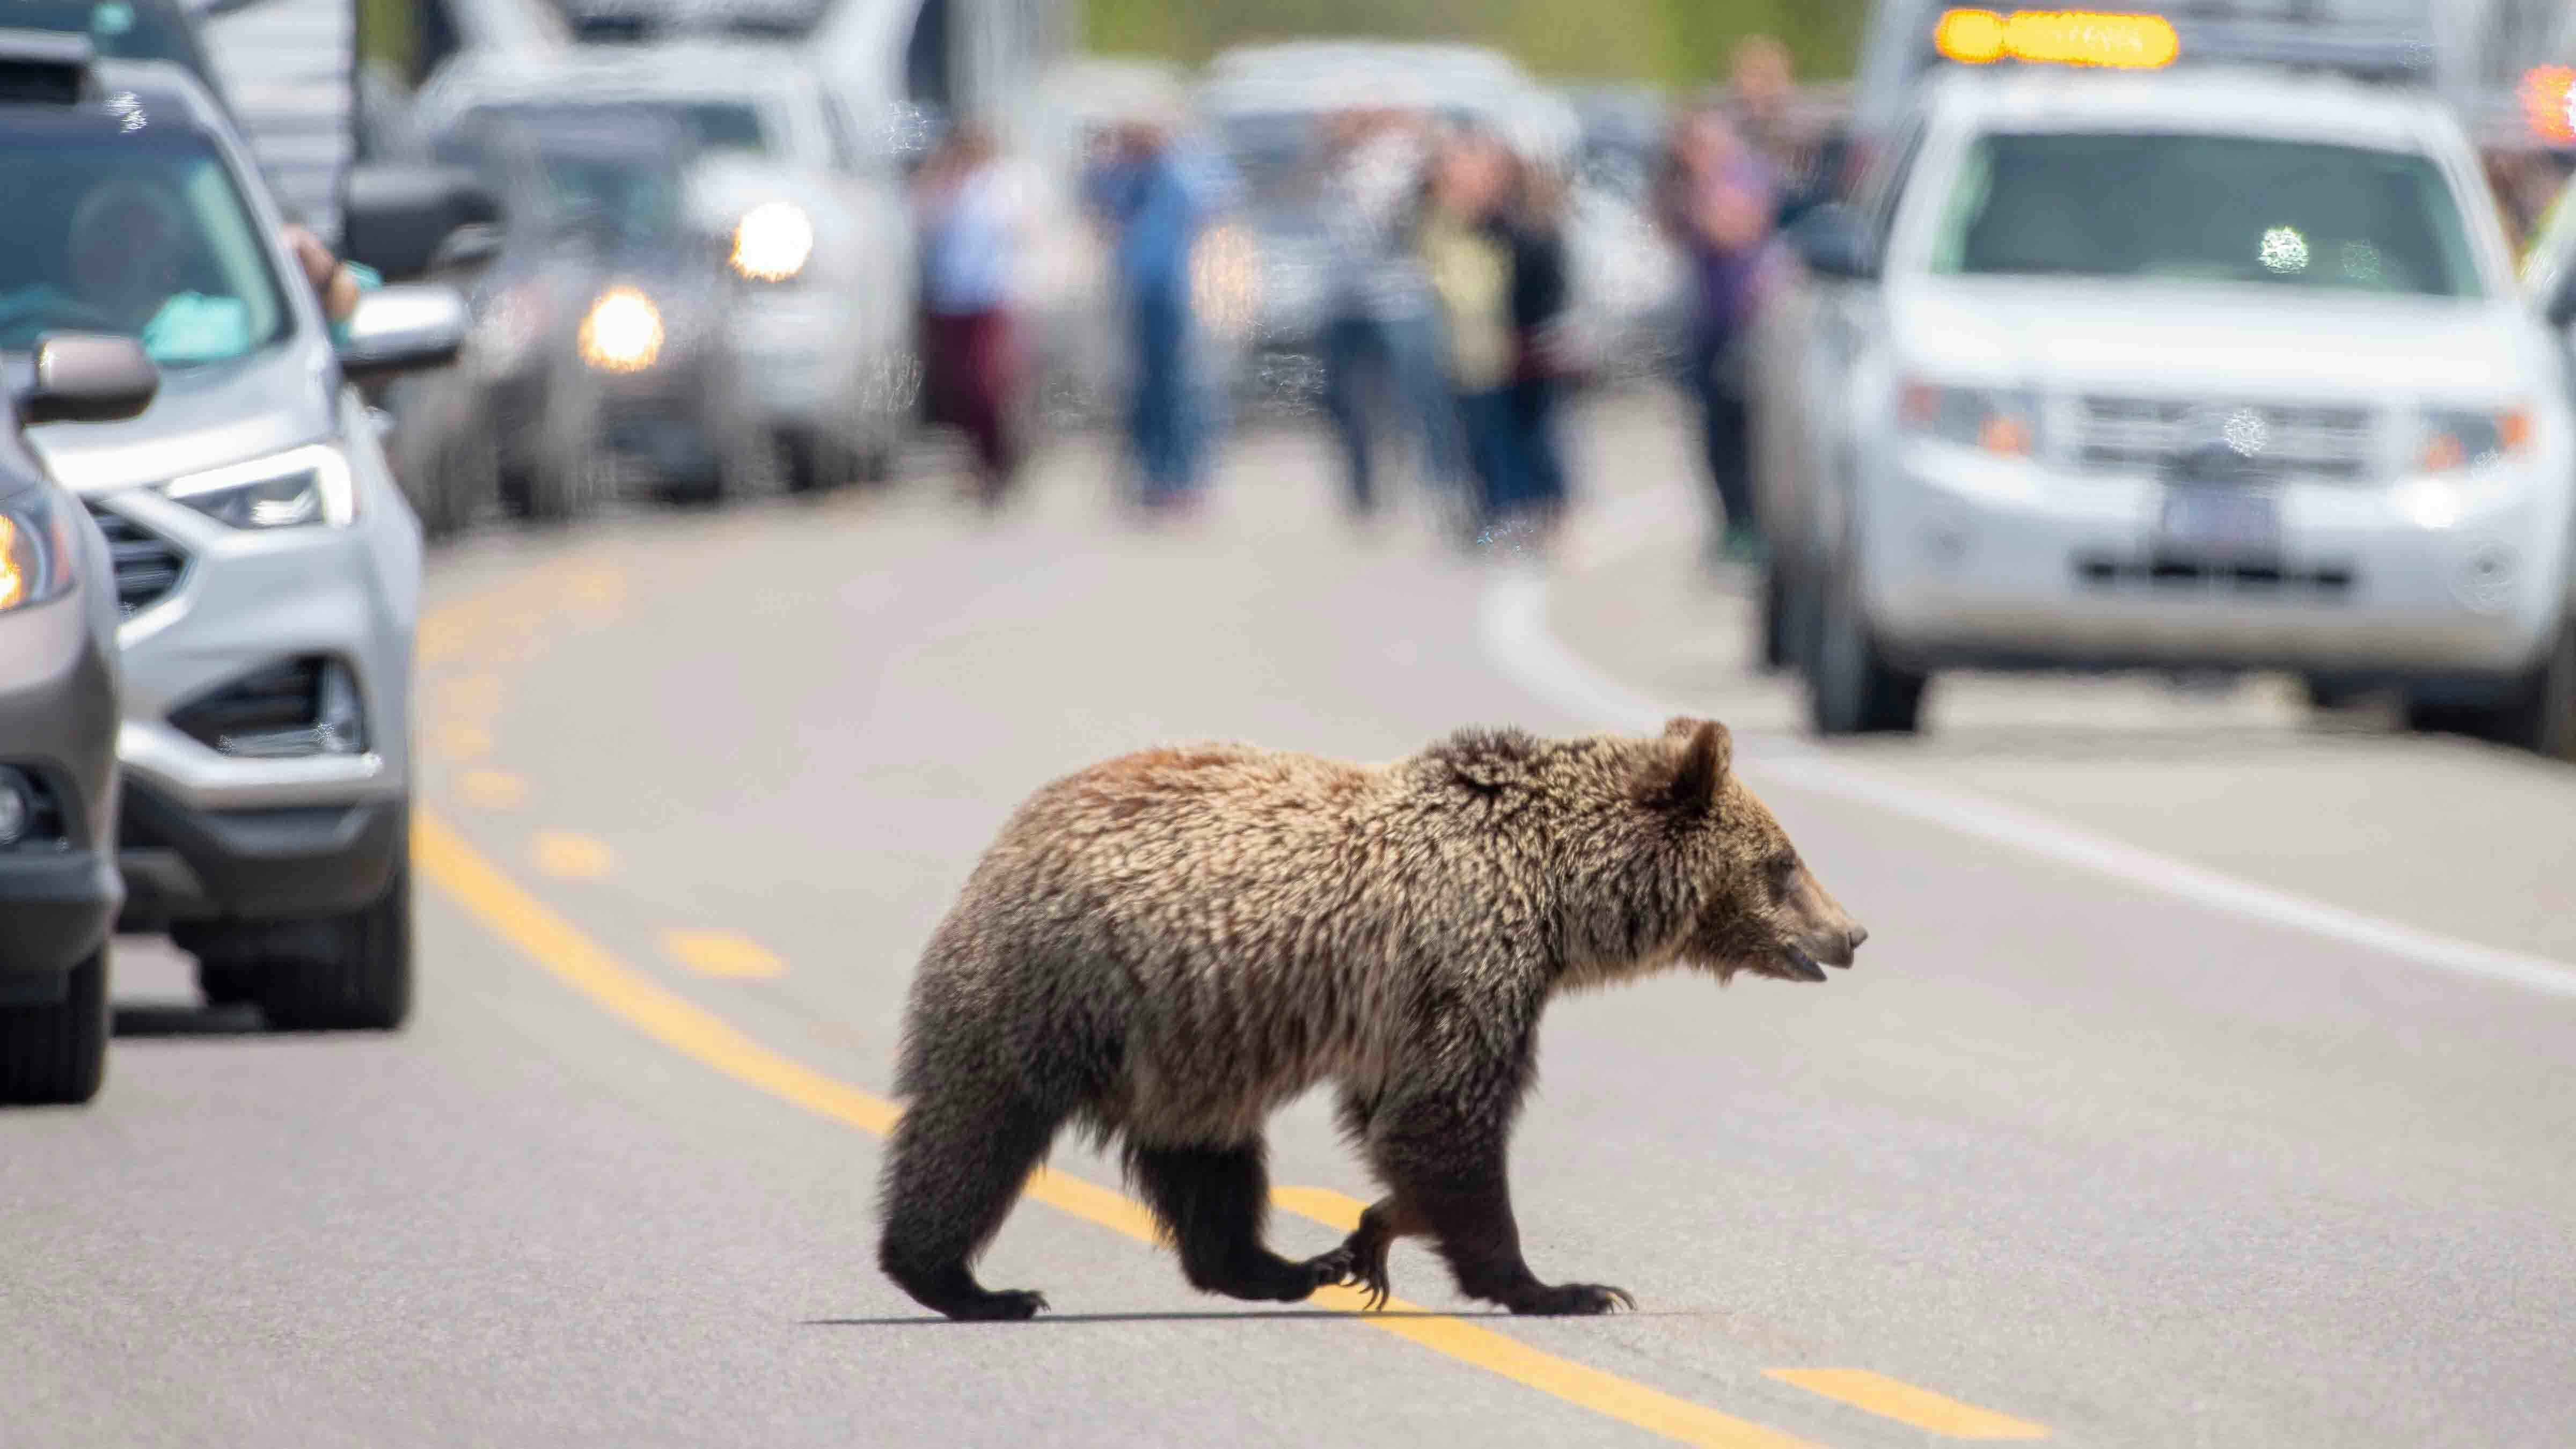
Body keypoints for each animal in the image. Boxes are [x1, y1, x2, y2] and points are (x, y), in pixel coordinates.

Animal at [876, 716, 1865, 1315]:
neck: (1554, 895)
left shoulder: (1419, 998)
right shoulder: (1466, 960)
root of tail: (1010, 837)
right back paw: (962, 1282)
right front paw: (1555, 1285)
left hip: (1189, 1037)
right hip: (1064, 987)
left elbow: (1401, 1117)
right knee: (977, 1128)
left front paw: (1367, 1238)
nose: (1852, 932)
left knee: (1209, 1156)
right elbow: (1446, 1117)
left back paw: (1277, 1267)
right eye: (1783, 861)